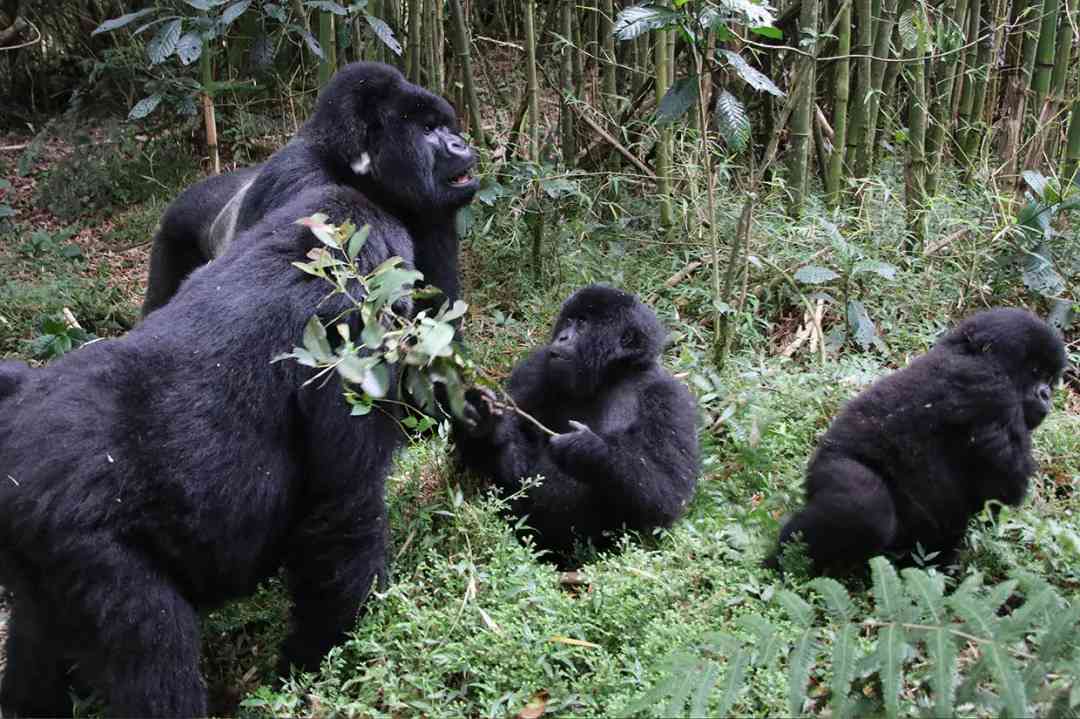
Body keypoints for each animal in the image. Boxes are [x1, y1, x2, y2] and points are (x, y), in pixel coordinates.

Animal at [140, 62, 477, 315]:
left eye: (444, 125)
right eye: (427, 130)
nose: (461, 144)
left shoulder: (433, 214)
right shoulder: (303, 181)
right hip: (174, 227)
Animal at [453, 285, 699, 561]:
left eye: (582, 324)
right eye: (568, 321)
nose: (562, 338)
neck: (610, 376)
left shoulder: (669, 398)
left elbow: (669, 493)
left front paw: (588, 450)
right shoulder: (535, 368)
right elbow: (514, 471)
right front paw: (483, 423)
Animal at [773, 304, 1067, 574]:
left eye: (1050, 377)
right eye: (1034, 370)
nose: (1046, 394)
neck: (968, 352)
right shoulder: (995, 390)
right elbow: (1006, 484)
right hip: (831, 463)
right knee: (865, 509)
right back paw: (782, 561)